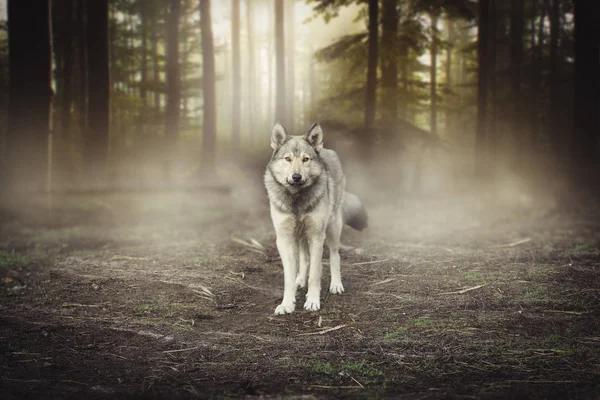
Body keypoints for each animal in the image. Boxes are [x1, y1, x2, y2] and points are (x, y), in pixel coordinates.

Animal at [264, 123, 368, 314]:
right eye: (288, 159)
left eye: (306, 159)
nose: (296, 177)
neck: (297, 199)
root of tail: (326, 149)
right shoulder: (284, 239)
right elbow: (289, 277)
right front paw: (287, 303)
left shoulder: (317, 236)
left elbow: (315, 274)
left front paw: (312, 301)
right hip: (300, 236)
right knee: (304, 259)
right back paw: (300, 281)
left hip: (332, 228)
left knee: (334, 256)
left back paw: (336, 285)